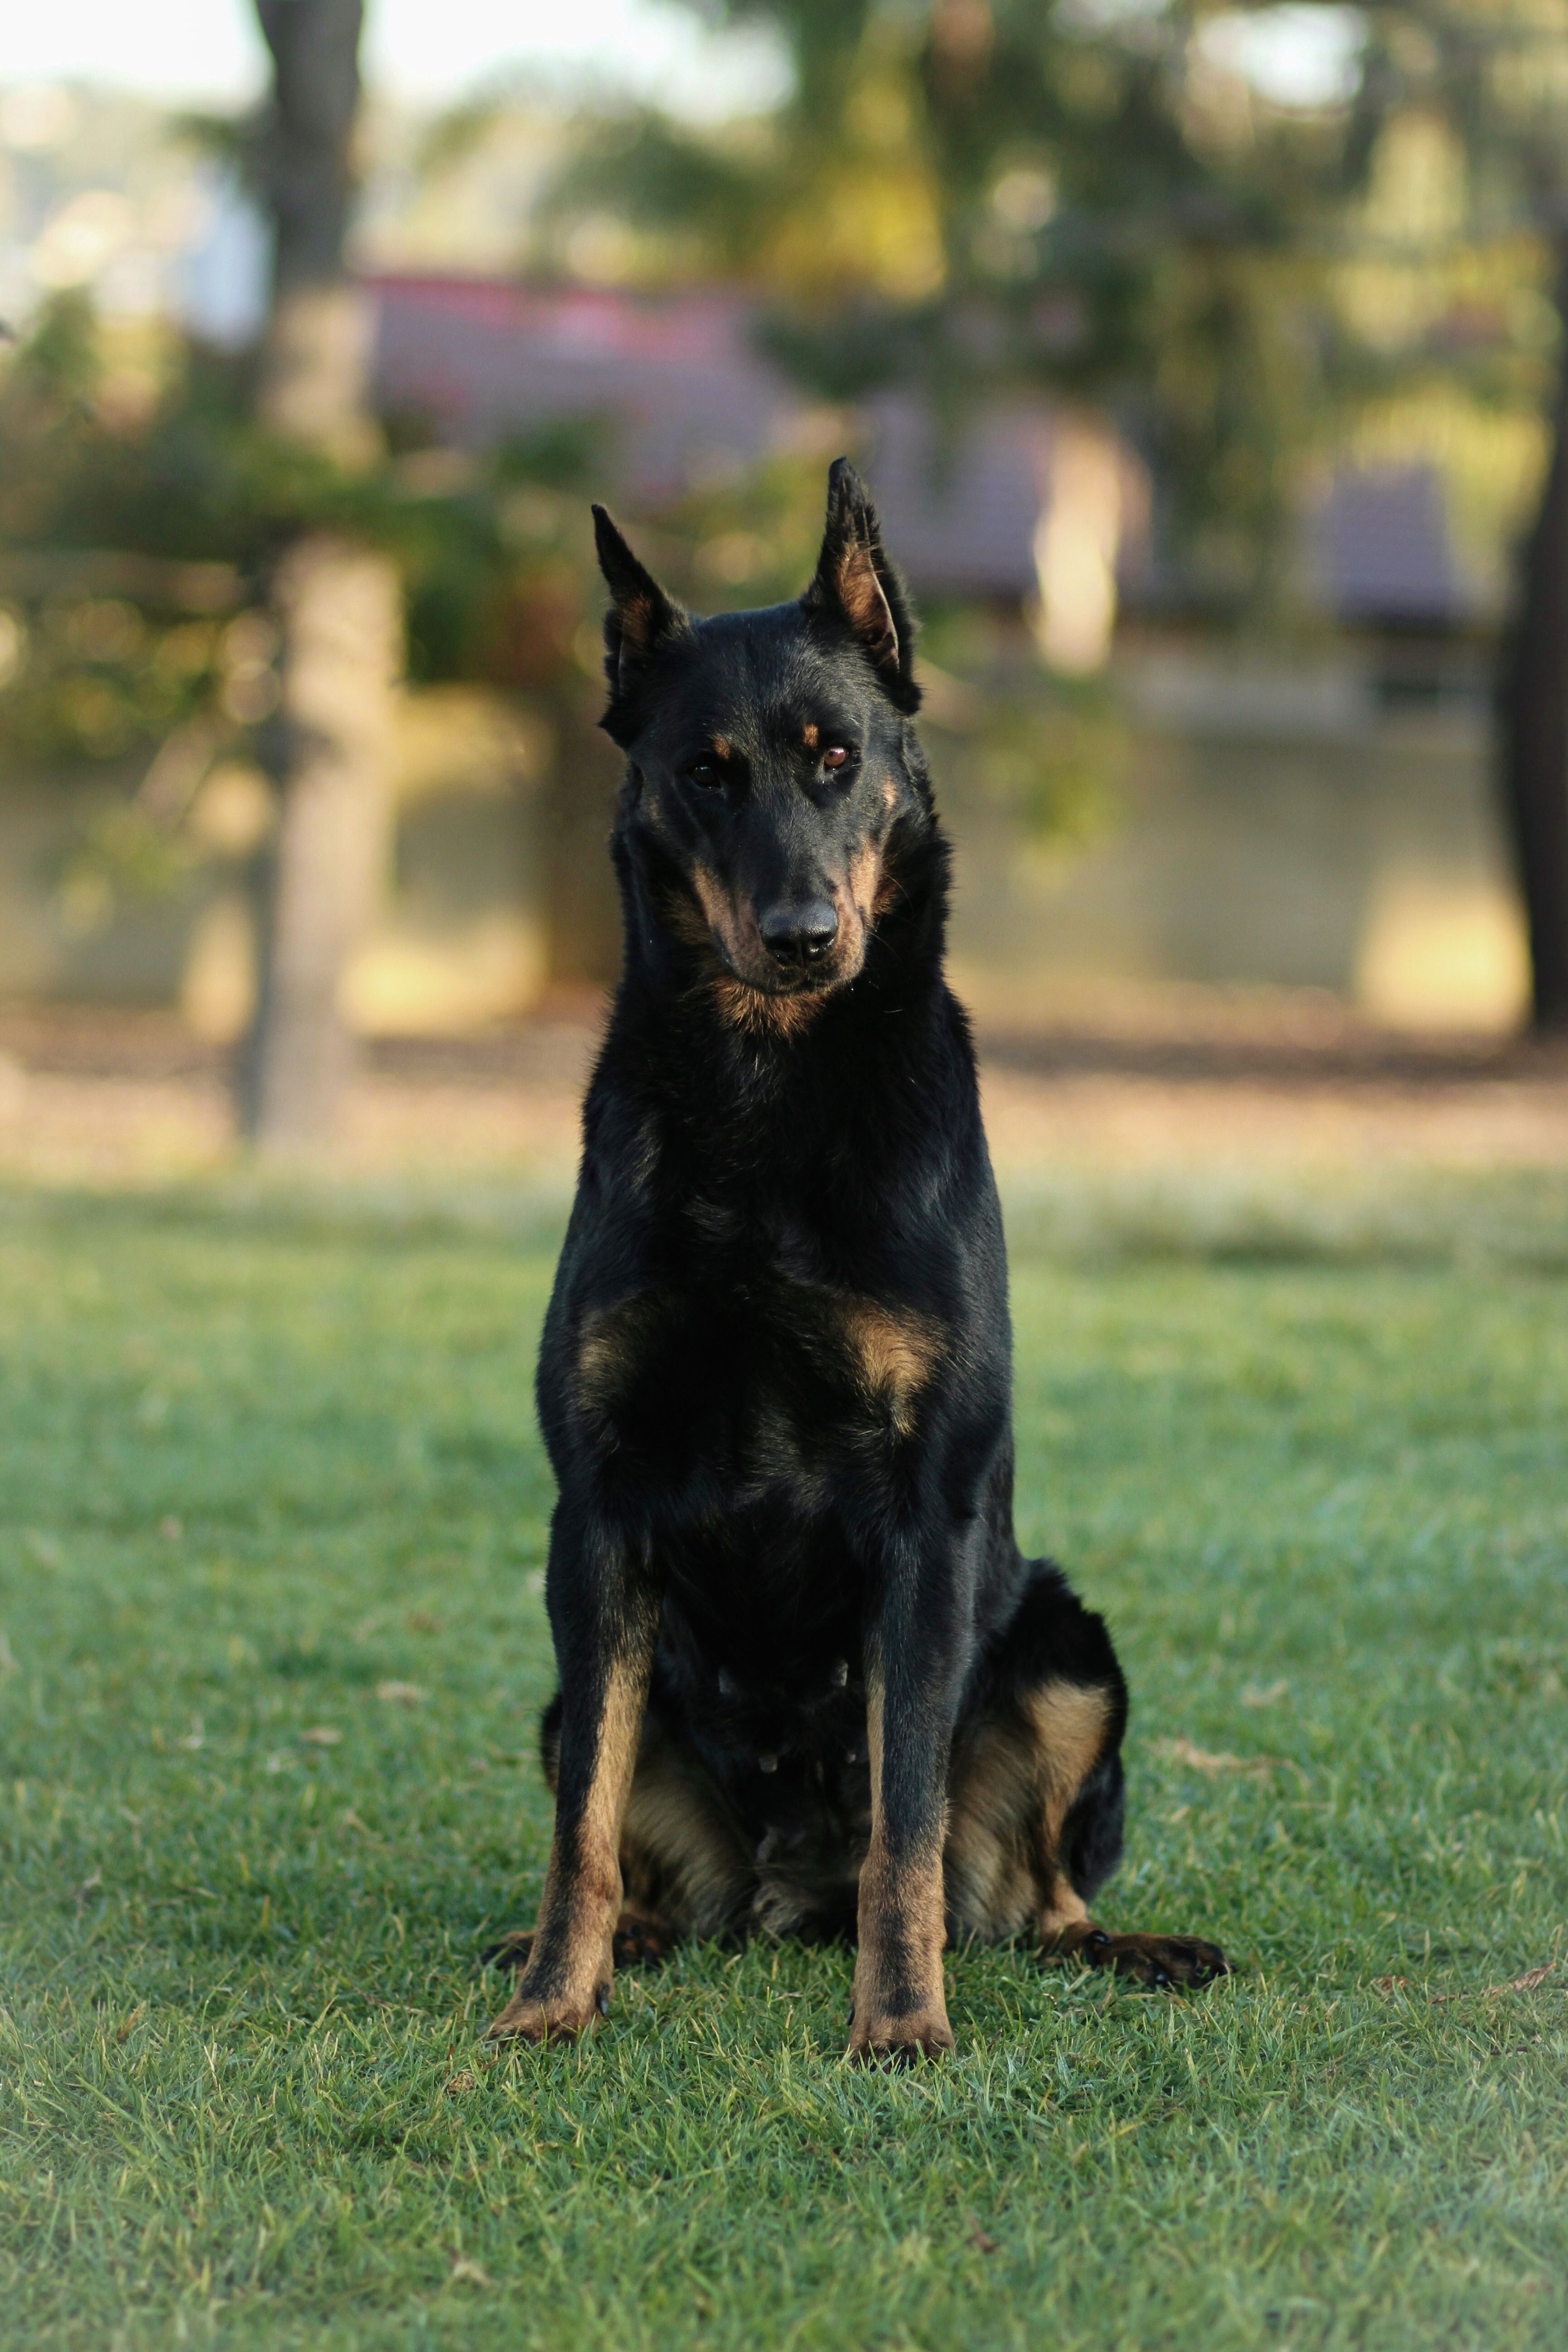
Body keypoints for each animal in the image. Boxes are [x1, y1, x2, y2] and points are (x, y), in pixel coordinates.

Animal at [483, 460, 1228, 2060]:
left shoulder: (924, 1521)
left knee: (1022, 1891)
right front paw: (550, 2004)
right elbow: (580, 1830)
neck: (769, 1095)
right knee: (621, 1823)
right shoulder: (598, 1519)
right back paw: (618, 1946)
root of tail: (786, 1894)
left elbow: (910, 1821)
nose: (802, 935)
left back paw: (1124, 1946)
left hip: (1068, 1645)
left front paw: (898, 2026)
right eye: (707, 772)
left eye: (836, 759)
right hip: (574, 1690)